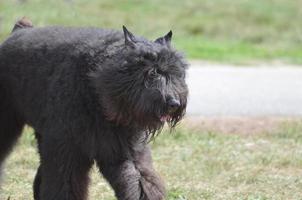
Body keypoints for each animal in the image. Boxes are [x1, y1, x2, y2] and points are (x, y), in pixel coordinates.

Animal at [0, 18, 188, 199]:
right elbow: (64, 185)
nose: (174, 103)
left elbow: (140, 180)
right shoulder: (68, 150)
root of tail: (18, 31)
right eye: (151, 73)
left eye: (177, 73)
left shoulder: (124, 152)